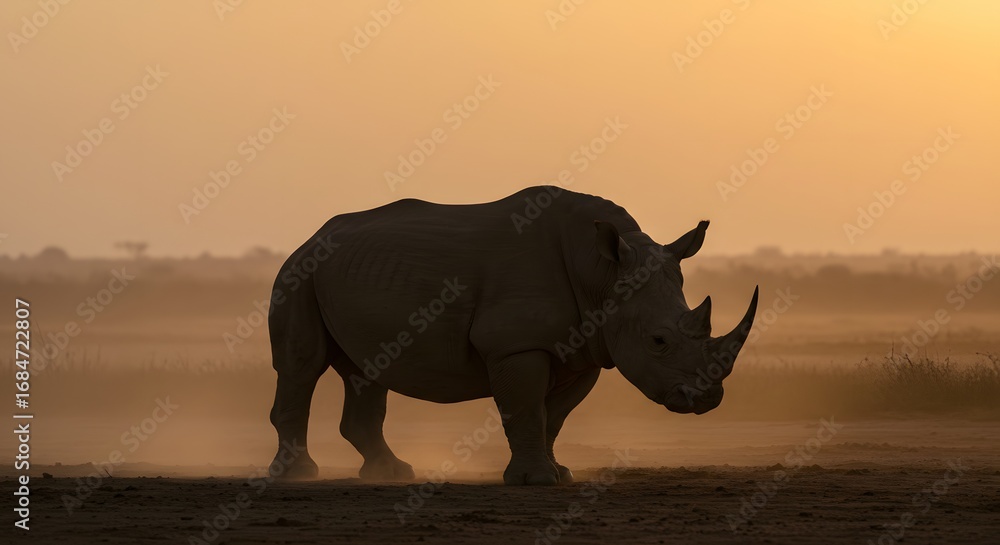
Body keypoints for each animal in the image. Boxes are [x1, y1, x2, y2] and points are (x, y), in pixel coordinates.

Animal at [267, 186, 758, 485]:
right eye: (658, 341)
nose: (708, 398)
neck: (601, 275)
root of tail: (314, 236)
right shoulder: (514, 344)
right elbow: (525, 409)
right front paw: (535, 481)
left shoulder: (585, 349)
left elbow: (553, 416)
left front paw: (559, 474)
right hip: (298, 272)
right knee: (301, 366)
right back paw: (296, 476)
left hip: (343, 272)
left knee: (365, 371)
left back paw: (391, 473)